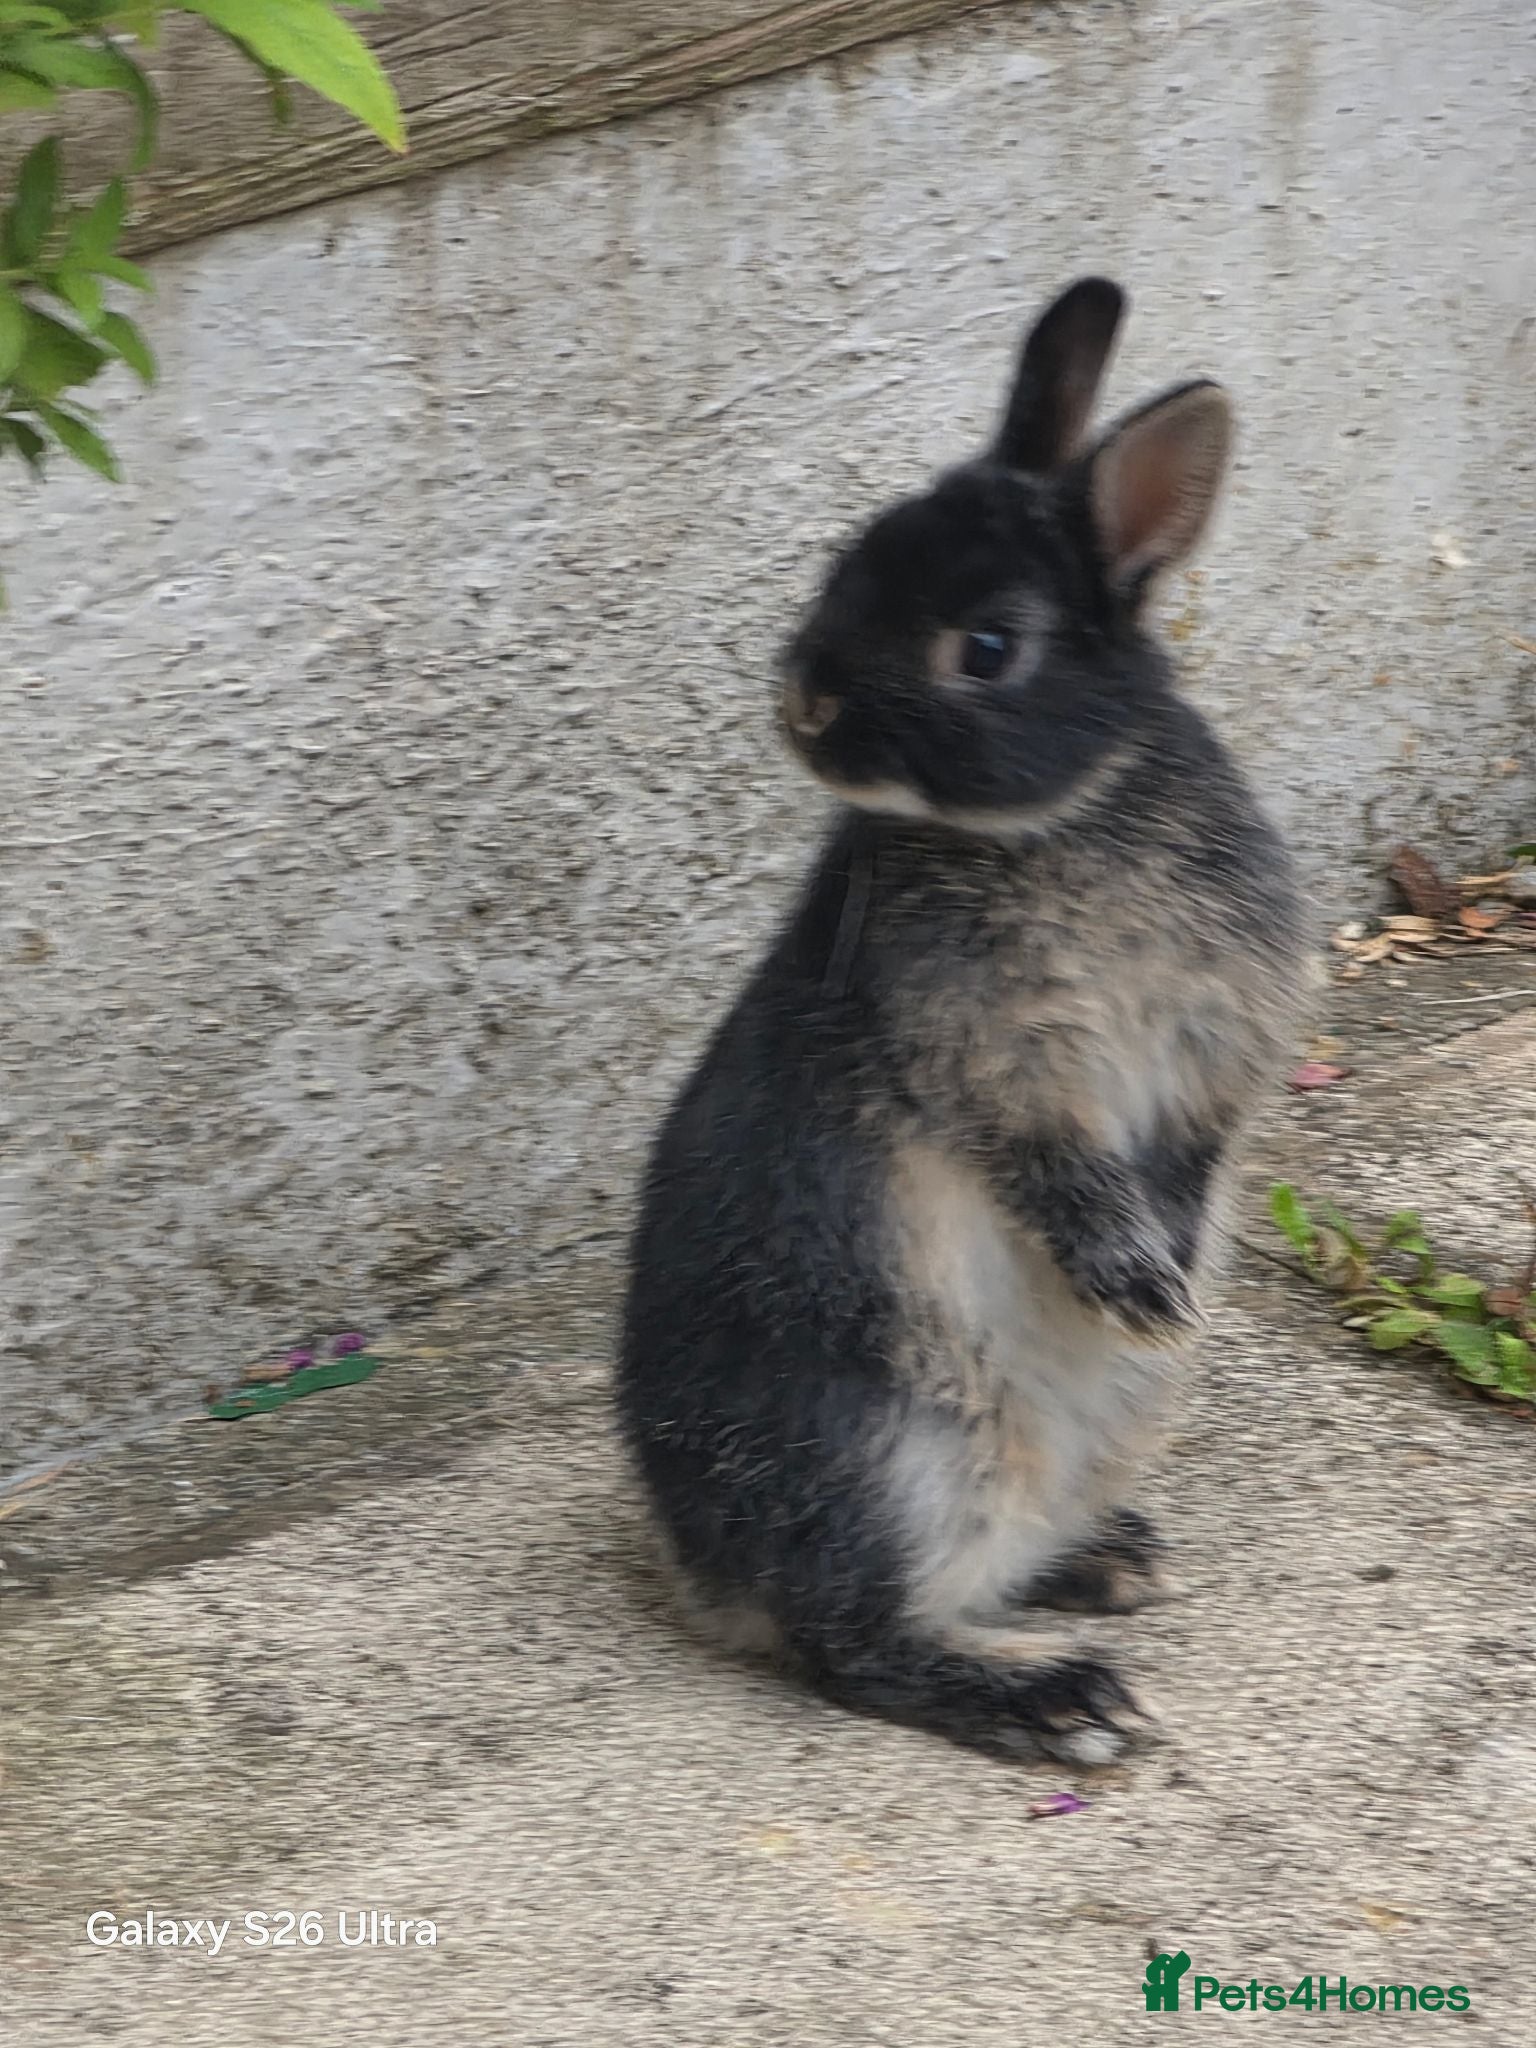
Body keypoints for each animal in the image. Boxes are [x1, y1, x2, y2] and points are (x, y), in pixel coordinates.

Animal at [615, 277, 1307, 1764]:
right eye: (846, 562)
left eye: (986, 647)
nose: (803, 703)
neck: (1064, 818)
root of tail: (706, 1574)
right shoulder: (1000, 1062)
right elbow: (1055, 1165)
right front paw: (1137, 1283)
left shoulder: (1216, 1042)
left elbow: (1186, 1154)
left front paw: (1162, 1284)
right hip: (886, 1451)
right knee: (856, 1644)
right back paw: (1059, 1700)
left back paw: (1109, 1564)